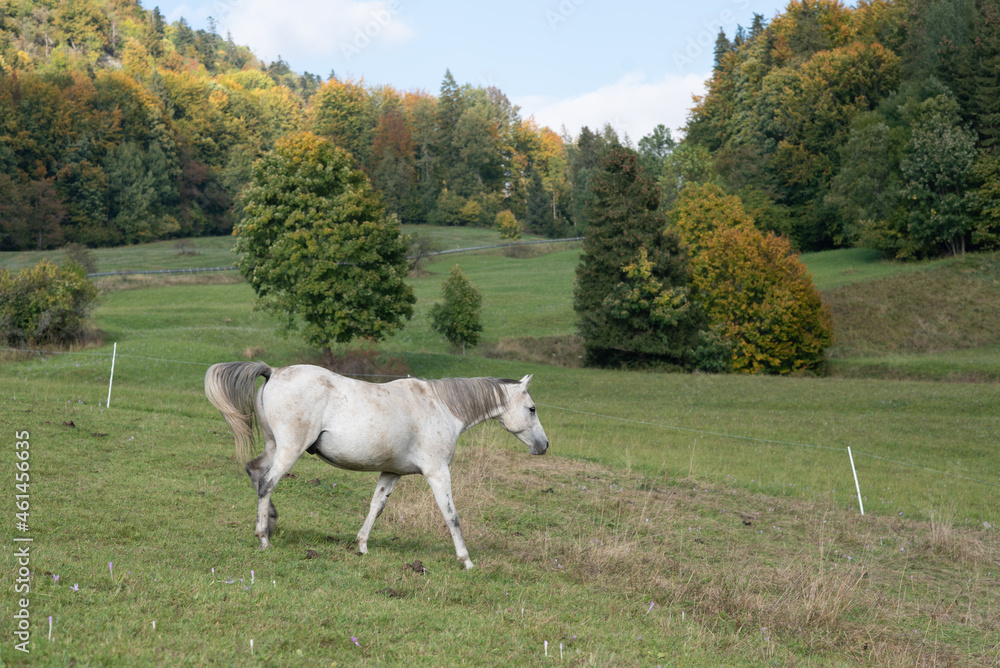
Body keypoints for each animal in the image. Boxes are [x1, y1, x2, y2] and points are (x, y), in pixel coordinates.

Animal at [204, 362, 549, 569]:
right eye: (532, 409)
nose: (543, 446)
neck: (442, 407)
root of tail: (273, 371)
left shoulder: (391, 473)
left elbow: (376, 507)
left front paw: (362, 546)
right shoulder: (437, 473)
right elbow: (452, 517)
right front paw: (466, 561)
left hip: (274, 446)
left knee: (254, 472)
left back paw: (271, 522)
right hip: (290, 449)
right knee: (267, 483)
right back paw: (263, 537)